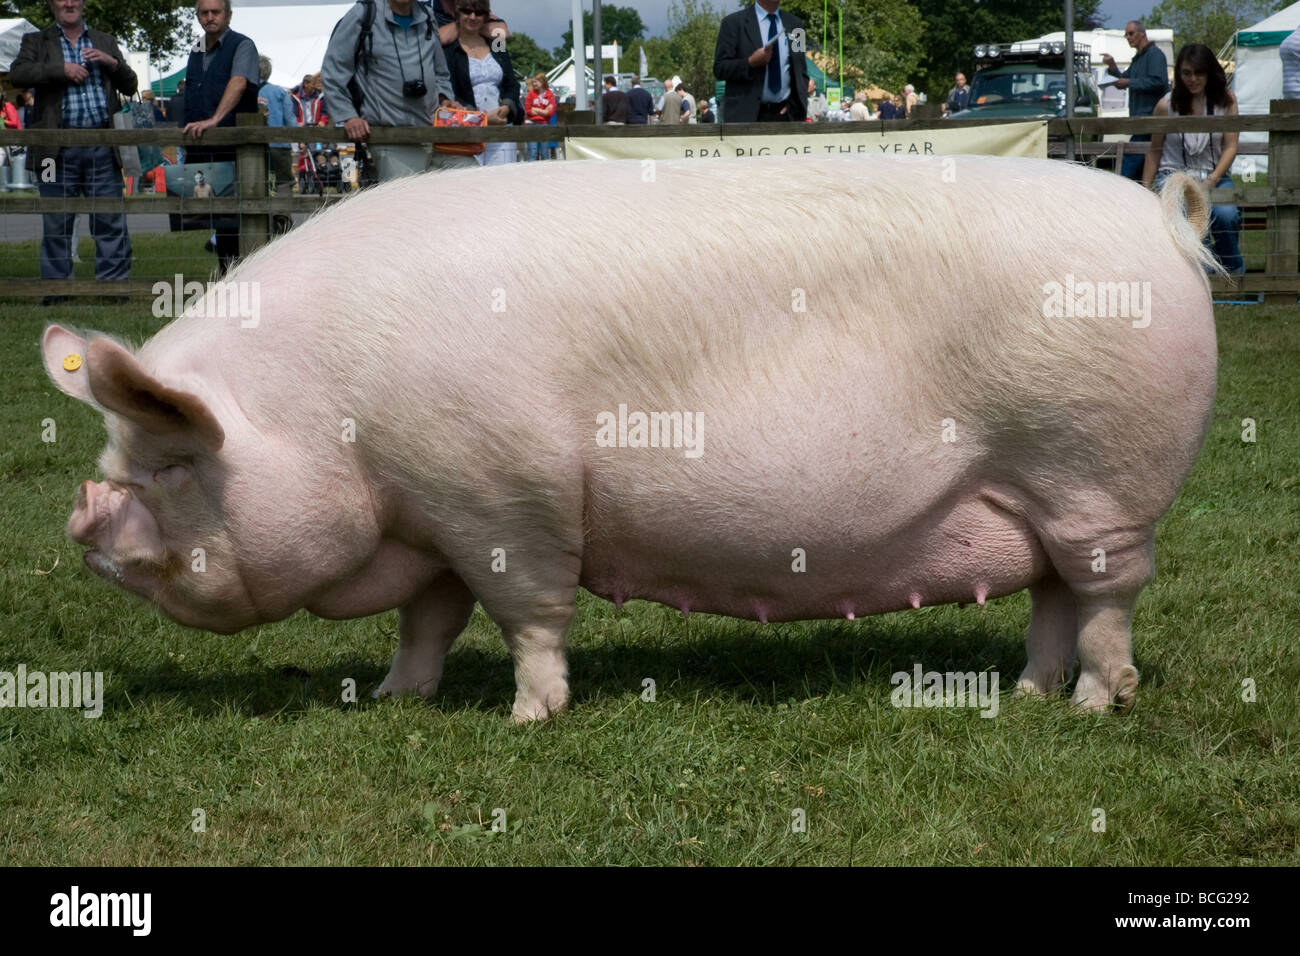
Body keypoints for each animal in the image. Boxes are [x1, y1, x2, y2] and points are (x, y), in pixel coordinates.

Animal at [40, 157, 1216, 723]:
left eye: (172, 466)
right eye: (118, 464)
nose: (80, 516)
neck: (328, 408)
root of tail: (1162, 220)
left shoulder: (503, 492)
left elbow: (526, 611)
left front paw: (528, 719)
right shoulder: (434, 511)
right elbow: (430, 619)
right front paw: (394, 699)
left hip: (1099, 476)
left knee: (1107, 598)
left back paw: (1099, 704)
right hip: (1044, 493)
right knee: (1053, 597)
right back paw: (1028, 697)